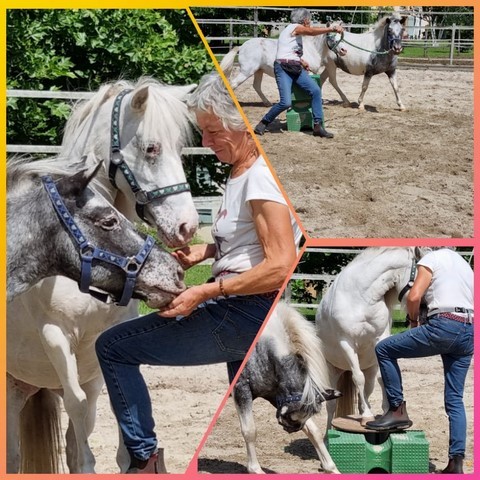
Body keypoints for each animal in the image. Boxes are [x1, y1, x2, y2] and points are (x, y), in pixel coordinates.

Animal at [8, 78, 201, 472]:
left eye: (180, 148)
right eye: (151, 148)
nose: (187, 226)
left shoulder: (103, 350)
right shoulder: (56, 337)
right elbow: (78, 416)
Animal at [221, 13, 404, 110]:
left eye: (401, 30)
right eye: (389, 31)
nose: (343, 51)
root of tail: (242, 46)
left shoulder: (391, 71)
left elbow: (395, 87)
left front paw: (401, 106)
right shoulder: (368, 72)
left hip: (258, 71)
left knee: (256, 86)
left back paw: (266, 103)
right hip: (247, 71)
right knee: (233, 84)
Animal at [316, 248, 426, 428]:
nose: (423, 313)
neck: (361, 298)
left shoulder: (380, 339)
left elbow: (383, 378)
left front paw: (386, 411)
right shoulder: (346, 343)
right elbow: (357, 378)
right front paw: (368, 415)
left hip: (370, 369)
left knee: (366, 394)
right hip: (333, 371)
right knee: (331, 406)